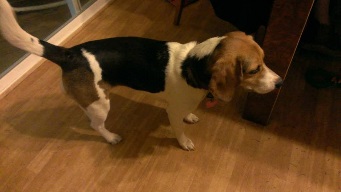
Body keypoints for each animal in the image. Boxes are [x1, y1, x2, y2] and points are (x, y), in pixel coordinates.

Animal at [0, 0, 282, 150]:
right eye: (254, 69)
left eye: (265, 59)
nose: (280, 82)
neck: (194, 63)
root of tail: (71, 53)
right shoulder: (172, 111)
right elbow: (179, 130)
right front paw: (184, 142)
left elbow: (188, 114)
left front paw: (191, 116)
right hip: (102, 105)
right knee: (95, 125)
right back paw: (110, 137)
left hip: (93, 99)